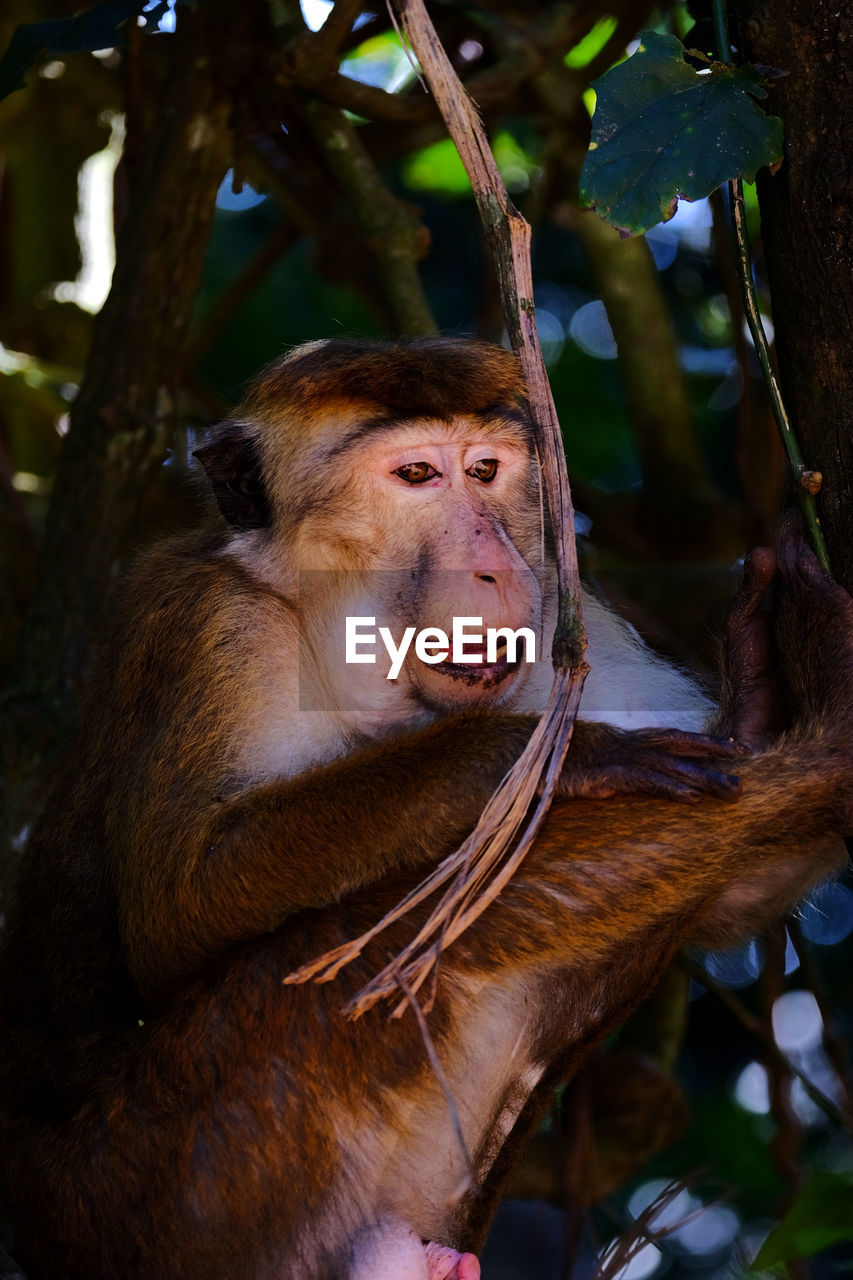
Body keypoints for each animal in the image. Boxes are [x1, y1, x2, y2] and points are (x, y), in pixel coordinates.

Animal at [1, 340, 850, 1280]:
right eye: (415, 475)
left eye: (485, 470)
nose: (497, 564)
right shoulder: (210, 626)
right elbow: (179, 897)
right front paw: (541, 758)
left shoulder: (574, 628)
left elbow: (733, 896)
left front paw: (750, 709)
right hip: (176, 1181)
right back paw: (832, 737)